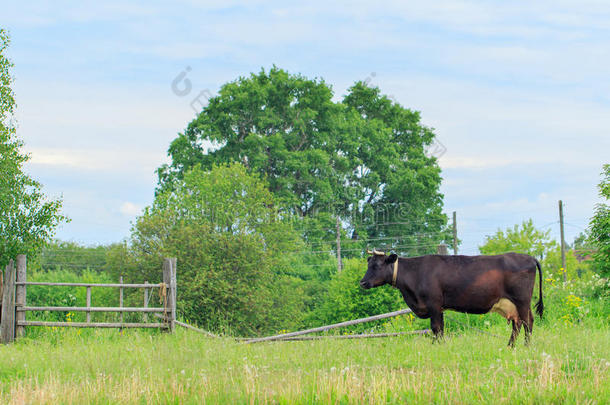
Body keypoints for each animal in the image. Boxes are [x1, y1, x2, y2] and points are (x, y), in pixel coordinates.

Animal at [356, 248, 540, 346]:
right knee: (518, 324)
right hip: (514, 305)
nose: (362, 282)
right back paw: (510, 346)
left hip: (522, 301)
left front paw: (436, 345)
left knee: (527, 322)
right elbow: (440, 328)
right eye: (368, 264)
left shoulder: (434, 305)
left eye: (377, 265)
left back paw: (526, 346)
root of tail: (529, 256)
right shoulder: (439, 308)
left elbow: (436, 328)